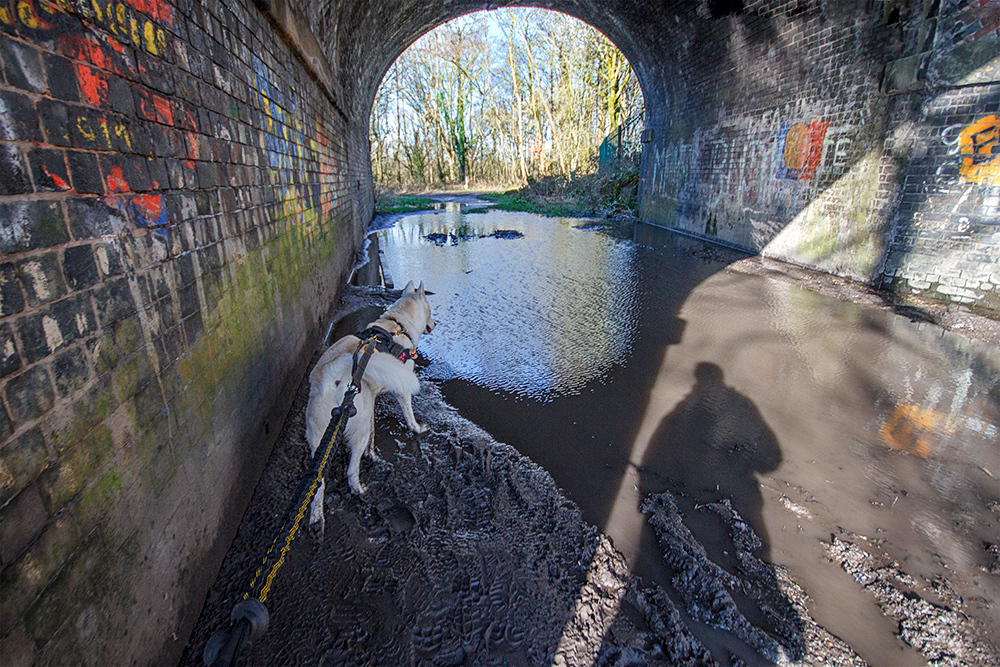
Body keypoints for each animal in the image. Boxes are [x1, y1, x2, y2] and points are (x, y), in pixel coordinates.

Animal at [302, 280, 432, 528]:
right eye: (430, 311)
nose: (434, 324)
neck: (397, 324)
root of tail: (330, 376)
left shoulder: (369, 402)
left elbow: (373, 431)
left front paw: (373, 454)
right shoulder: (401, 390)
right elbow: (409, 414)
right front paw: (417, 428)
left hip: (321, 437)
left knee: (318, 482)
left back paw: (316, 517)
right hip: (355, 432)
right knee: (351, 471)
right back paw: (359, 490)